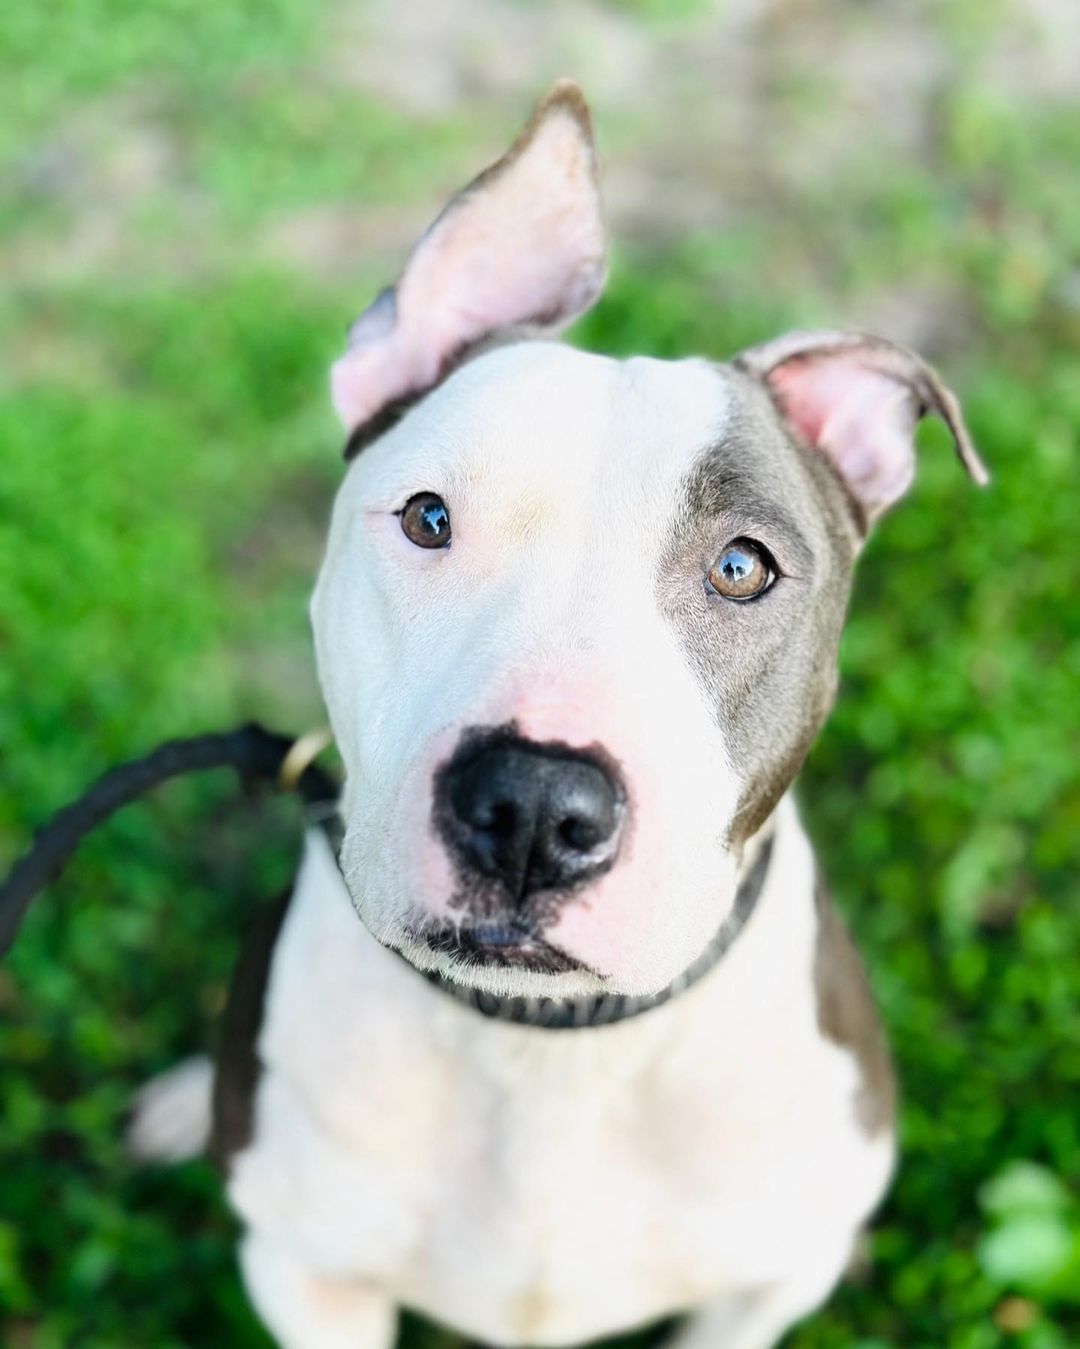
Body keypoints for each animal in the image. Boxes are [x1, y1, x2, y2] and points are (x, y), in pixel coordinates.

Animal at [126, 78, 986, 1343]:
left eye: (743, 567)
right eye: (429, 518)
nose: (532, 804)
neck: (549, 1050)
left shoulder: (761, 1287)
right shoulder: (309, 1276)